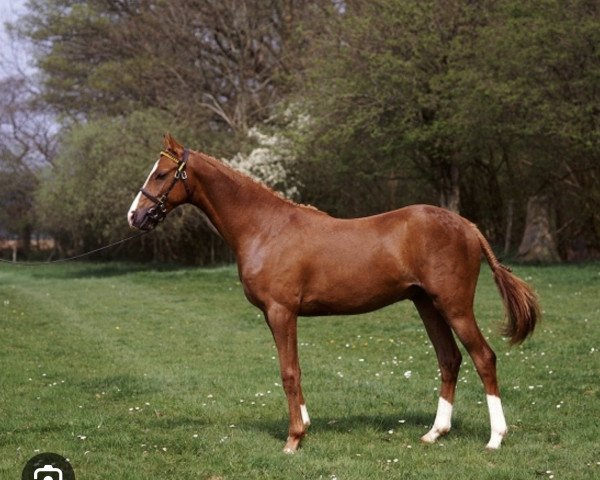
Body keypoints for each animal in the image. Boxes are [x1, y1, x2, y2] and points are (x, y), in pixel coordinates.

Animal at [126, 135, 540, 454]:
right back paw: (434, 433)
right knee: (449, 359)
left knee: (483, 357)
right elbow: (295, 369)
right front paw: (305, 425)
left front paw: (294, 439)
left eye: (161, 174)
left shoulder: (281, 311)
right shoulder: (279, 315)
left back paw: (495, 439)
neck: (265, 228)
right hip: (427, 305)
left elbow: (288, 371)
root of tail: (467, 225)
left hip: (454, 306)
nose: (134, 216)